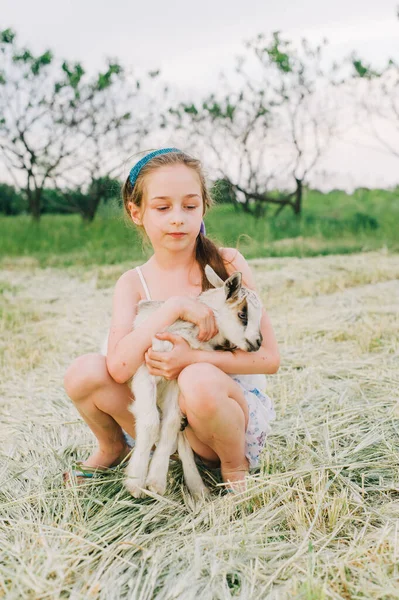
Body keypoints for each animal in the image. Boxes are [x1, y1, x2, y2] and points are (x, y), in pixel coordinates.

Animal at [123, 264, 264, 500]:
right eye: (243, 314)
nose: (258, 343)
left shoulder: (175, 376)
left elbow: (169, 424)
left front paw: (155, 482)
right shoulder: (145, 370)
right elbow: (151, 423)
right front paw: (135, 483)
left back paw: (198, 489)